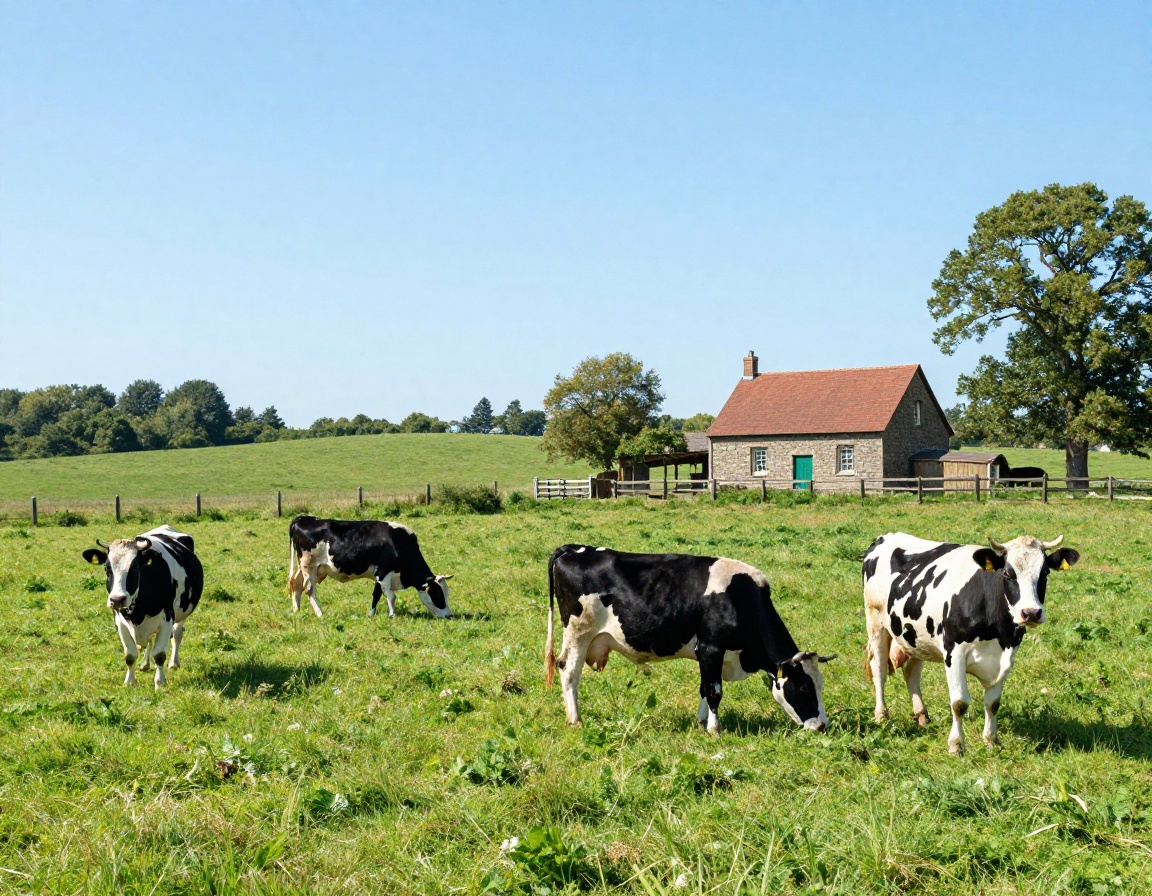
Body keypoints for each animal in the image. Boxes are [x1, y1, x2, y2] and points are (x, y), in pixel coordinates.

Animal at [82, 525, 204, 688]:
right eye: (107, 569)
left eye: (135, 569)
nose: (117, 599)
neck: (137, 611)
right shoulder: (119, 621)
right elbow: (130, 654)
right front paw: (130, 681)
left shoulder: (167, 618)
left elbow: (159, 654)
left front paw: (159, 682)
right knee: (150, 640)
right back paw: (145, 664)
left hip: (183, 611)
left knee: (177, 635)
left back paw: (174, 663)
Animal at [287, 516, 452, 619]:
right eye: (438, 594)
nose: (449, 615)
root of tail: (302, 518)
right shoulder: (384, 571)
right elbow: (390, 596)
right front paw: (392, 615)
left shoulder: (379, 573)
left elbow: (377, 594)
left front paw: (371, 614)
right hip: (309, 566)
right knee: (309, 589)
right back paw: (319, 613)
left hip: (310, 567)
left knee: (296, 583)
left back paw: (297, 609)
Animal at [544, 545, 833, 734]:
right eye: (804, 688)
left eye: (820, 685)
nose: (822, 726)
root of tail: (574, 549)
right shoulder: (710, 648)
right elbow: (715, 690)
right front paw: (715, 729)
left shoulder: (707, 654)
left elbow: (704, 687)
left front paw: (701, 722)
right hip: (579, 631)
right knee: (568, 669)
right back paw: (575, 720)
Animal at [863, 532, 1079, 754]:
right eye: (1007, 574)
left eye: (1045, 573)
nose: (1031, 613)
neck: (997, 632)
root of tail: (886, 537)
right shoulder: (954, 652)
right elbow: (959, 703)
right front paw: (956, 744)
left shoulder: (1007, 656)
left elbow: (993, 703)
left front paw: (991, 740)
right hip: (875, 620)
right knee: (879, 669)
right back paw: (881, 715)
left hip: (914, 636)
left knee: (911, 672)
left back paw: (922, 715)